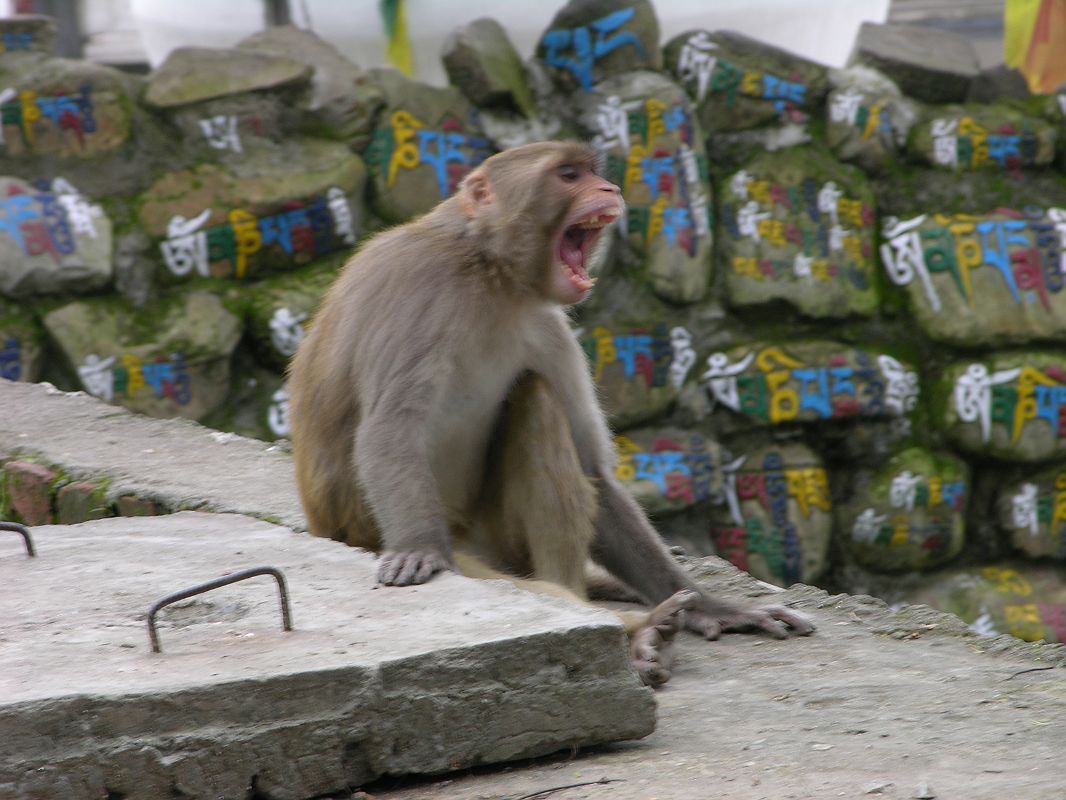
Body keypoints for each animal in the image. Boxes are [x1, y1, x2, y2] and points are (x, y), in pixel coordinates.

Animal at [287, 139, 810, 691]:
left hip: (501, 539)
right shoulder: (420, 286)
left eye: (590, 172)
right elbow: (392, 428)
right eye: (568, 175)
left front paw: (714, 607)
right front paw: (420, 548)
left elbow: (592, 472)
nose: (610, 188)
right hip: (403, 538)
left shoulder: (547, 324)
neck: (491, 272)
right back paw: (641, 632)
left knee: (536, 399)